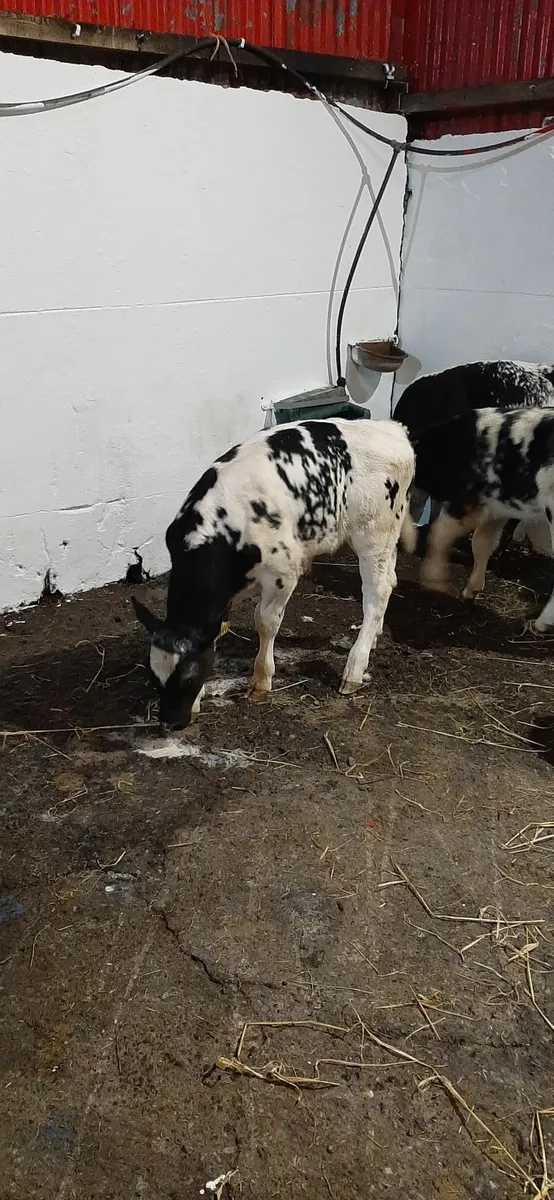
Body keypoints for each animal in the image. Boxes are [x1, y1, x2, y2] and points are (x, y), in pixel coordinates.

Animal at [132, 418, 415, 730]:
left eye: (187, 679)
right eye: (154, 678)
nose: (170, 724)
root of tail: (390, 427)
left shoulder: (283, 574)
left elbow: (266, 622)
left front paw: (261, 680)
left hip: (374, 532)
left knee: (377, 592)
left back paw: (354, 668)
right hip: (386, 537)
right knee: (390, 580)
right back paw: (375, 635)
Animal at [411, 405, 554, 631]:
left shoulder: (466, 500)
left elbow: (439, 534)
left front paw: (433, 581)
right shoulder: (497, 508)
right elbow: (481, 544)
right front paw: (470, 591)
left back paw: (538, 624)